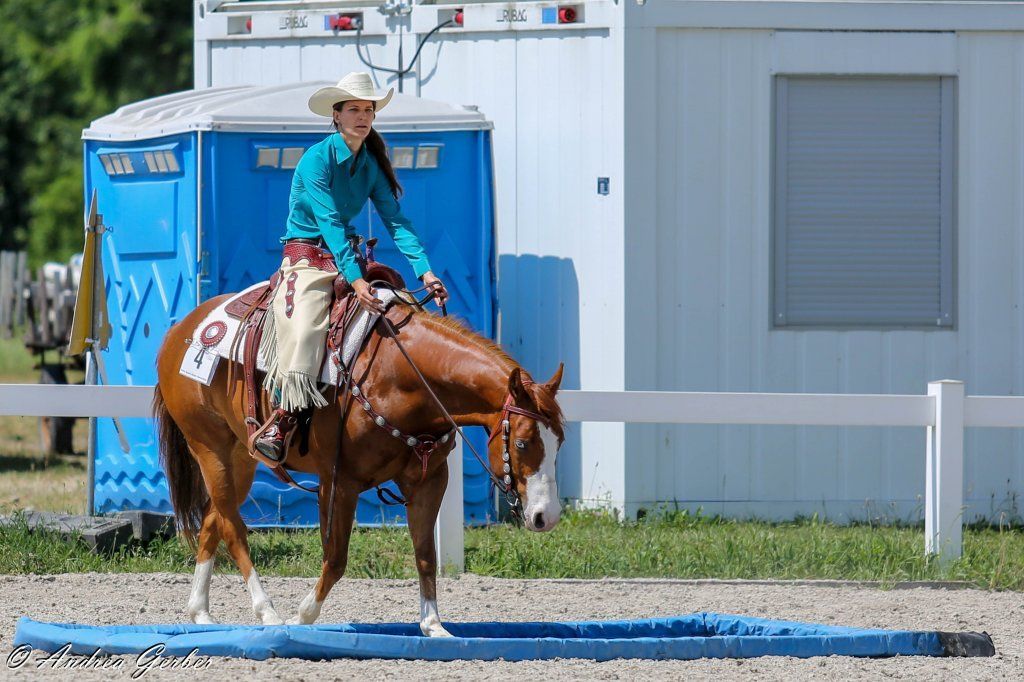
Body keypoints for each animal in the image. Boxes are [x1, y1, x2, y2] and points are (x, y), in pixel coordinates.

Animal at [153, 285, 566, 635]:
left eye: (560, 441)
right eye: (524, 443)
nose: (546, 517)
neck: (401, 373)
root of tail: (179, 332)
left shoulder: (430, 481)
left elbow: (425, 554)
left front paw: (434, 626)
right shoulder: (339, 482)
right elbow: (335, 558)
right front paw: (303, 617)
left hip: (241, 457)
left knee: (213, 520)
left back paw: (201, 613)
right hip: (210, 448)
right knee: (234, 529)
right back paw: (267, 612)